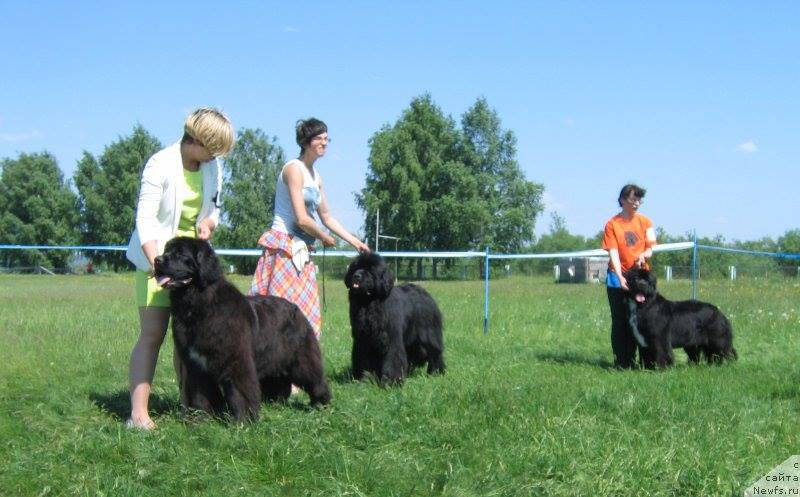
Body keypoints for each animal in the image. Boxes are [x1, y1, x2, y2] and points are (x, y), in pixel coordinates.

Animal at [153, 236, 332, 418]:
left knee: (314, 378)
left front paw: (244, 418)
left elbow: (241, 390)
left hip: (300, 358)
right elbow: (200, 394)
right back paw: (275, 401)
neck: (198, 304)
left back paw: (321, 403)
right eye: (166, 250)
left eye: (181, 253)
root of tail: (295, 308)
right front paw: (201, 417)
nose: (157, 260)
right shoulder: (196, 366)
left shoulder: (236, 360)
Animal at [342, 252, 444, 384]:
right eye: (355, 267)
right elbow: (363, 359)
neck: (369, 302)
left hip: (428, 334)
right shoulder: (363, 339)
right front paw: (365, 379)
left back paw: (436, 372)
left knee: (435, 352)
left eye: (370, 270)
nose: (356, 275)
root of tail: (425, 293)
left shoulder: (391, 337)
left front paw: (391, 382)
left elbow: (393, 357)